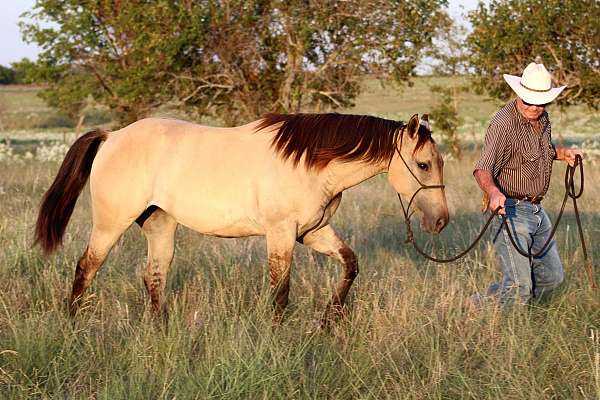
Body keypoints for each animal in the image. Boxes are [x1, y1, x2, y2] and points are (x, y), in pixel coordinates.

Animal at [32, 112, 446, 324]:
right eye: (423, 165)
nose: (440, 220)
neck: (309, 161)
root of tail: (112, 136)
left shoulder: (313, 232)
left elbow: (350, 264)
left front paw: (330, 319)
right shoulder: (281, 234)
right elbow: (281, 291)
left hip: (159, 224)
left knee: (154, 275)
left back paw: (160, 329)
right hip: (110, 224)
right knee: (86, 267)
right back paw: (72, 323)